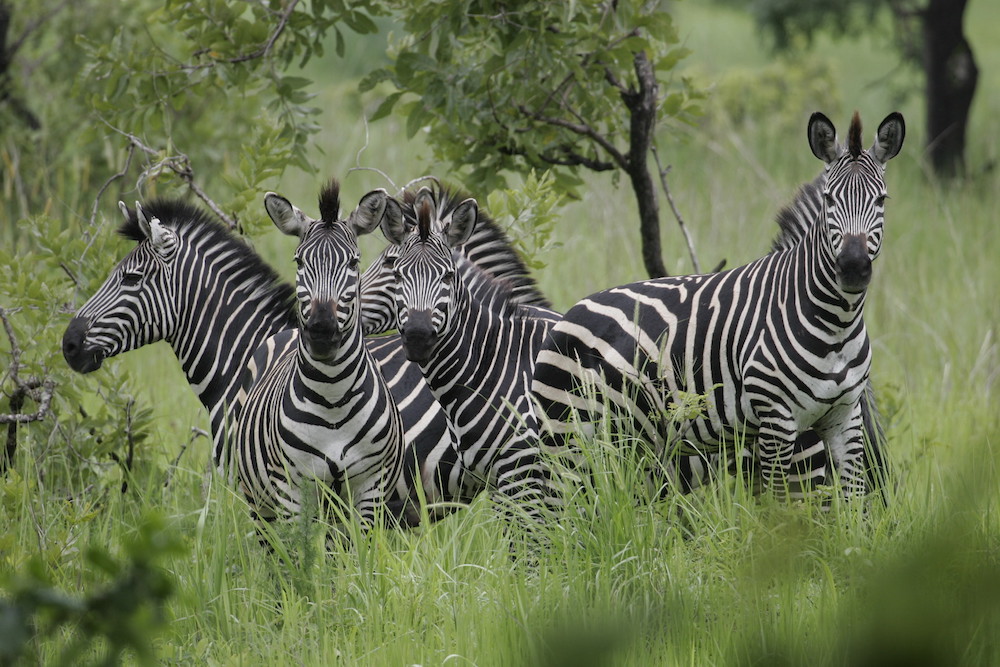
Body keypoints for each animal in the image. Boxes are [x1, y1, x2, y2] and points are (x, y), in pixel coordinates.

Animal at [229, 183, 404, 528]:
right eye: (298, 262)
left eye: (353, 264)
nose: (321, 331)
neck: (333, 396)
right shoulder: (292, 491)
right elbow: (299, 545)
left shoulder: (371, 487)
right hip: (261, 504)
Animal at [532, 113, 908, 500]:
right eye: (830, 200)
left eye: (882, 200)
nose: (852, 267)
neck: (835, 322)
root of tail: (569, 314)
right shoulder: (778, 420)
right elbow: (780, 507)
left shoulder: (845, 418)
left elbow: (853, 505)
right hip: (567, 437)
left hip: (622, 444)